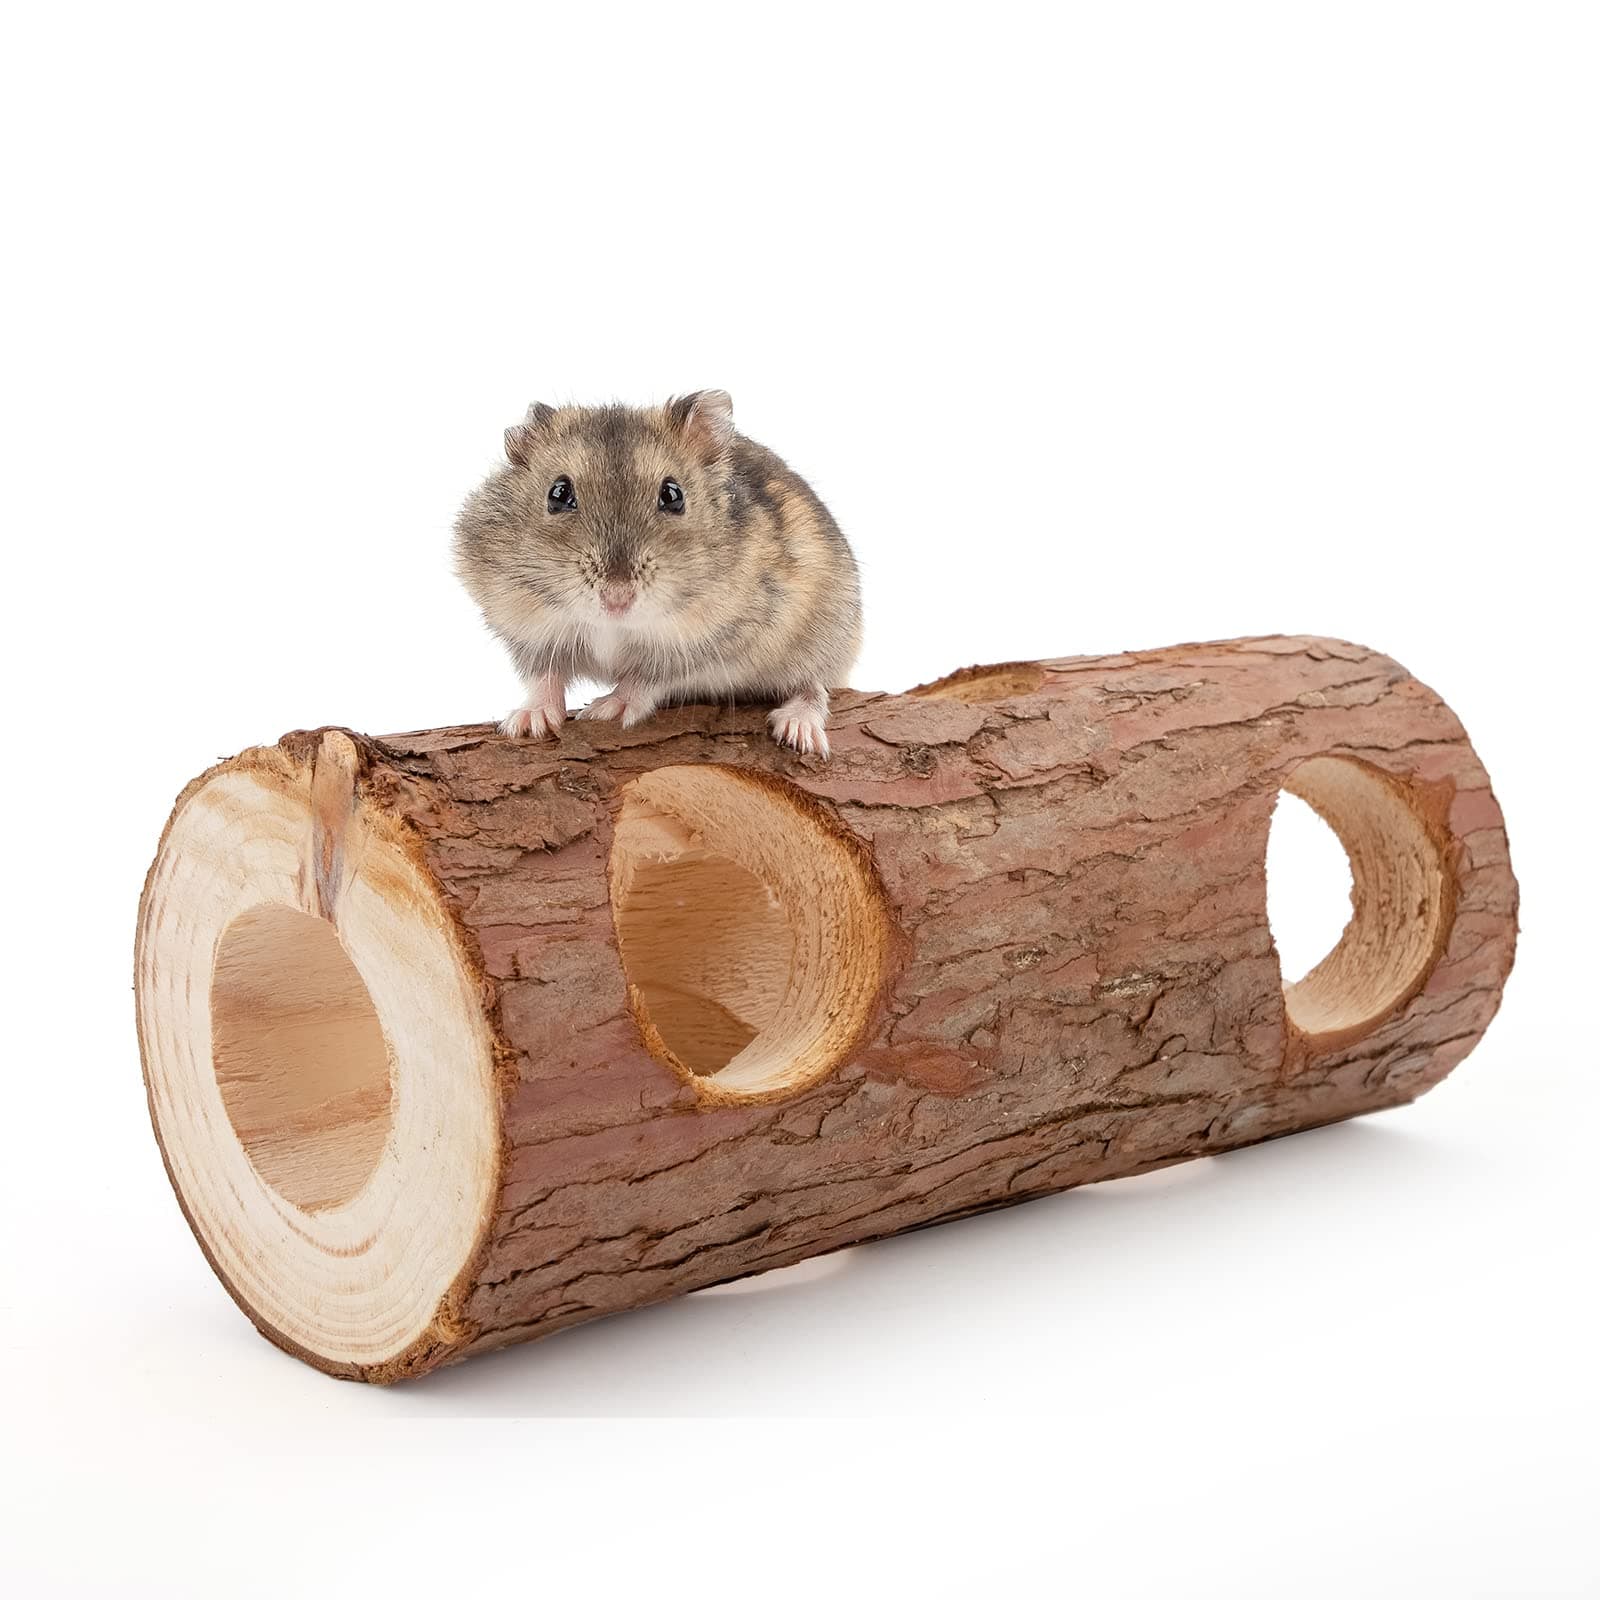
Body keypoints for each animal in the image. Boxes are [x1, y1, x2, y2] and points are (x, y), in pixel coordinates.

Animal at [453, 391, 861, 758]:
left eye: (673, 495)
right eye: (558, 493)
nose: (616, 599)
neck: (613, 625)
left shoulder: (713, 639)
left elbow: (647, 678)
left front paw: (606, 710)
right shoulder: (525, 628)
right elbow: (544, 676)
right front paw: (528, 721)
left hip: (828, 632)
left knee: (814, 686)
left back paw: (800, 730)